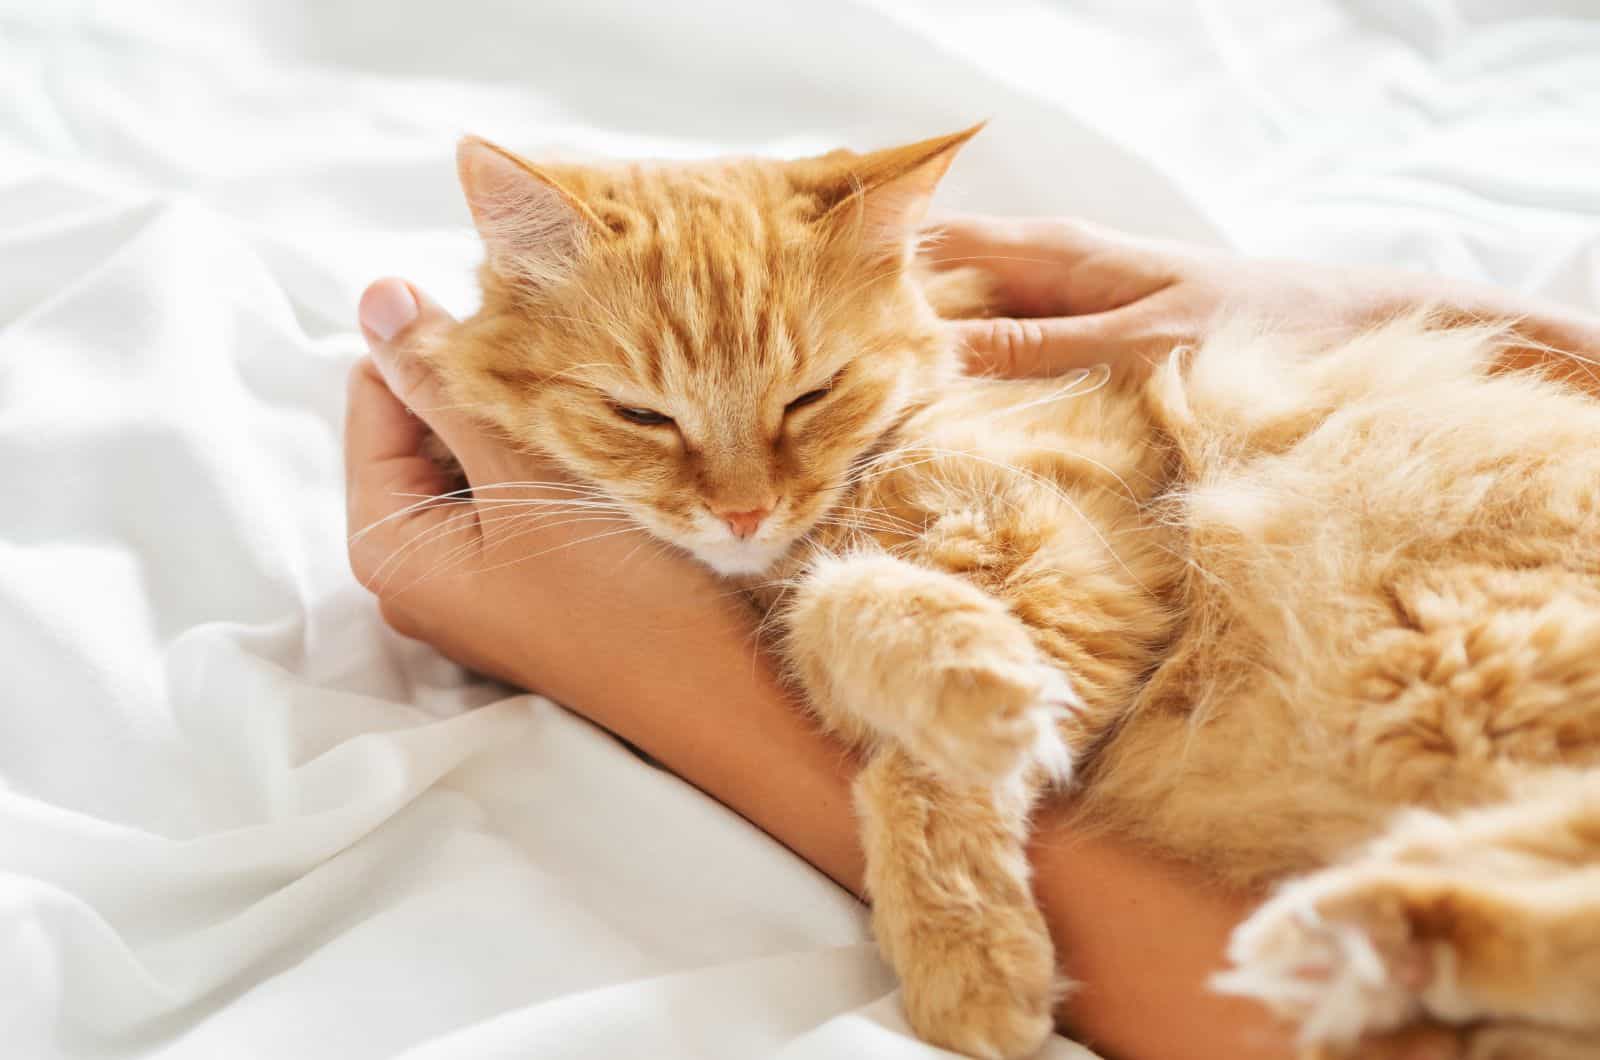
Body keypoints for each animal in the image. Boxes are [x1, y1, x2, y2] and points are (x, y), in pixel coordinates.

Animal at [425, 128, 1600, 1056]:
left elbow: (908, 728)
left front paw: (969, 959)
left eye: (810, 396)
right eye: (641, 415)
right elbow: (848, 627)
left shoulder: (1081, 540)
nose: (746, 513)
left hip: (1461, 665)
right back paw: (1382, 934)